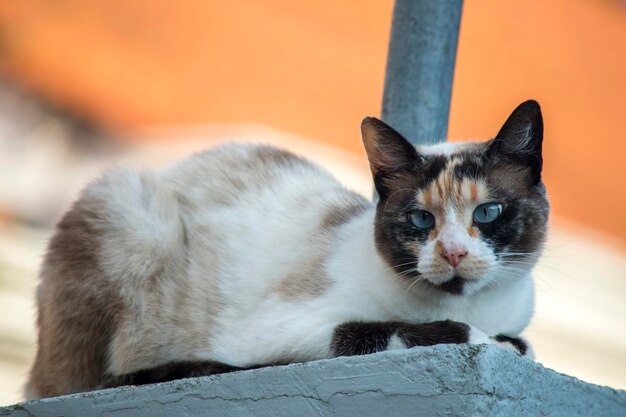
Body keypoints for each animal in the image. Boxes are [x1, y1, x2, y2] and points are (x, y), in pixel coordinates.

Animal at [26, 99, 548, 398]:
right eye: (421, 219)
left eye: (488, 212)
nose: (454, 253)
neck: (475, 307)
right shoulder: (289, 331)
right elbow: (413, 331)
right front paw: (487, 342)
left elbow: (523, 343)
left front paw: (509, 344)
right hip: (130, 211)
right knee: (92, 382)